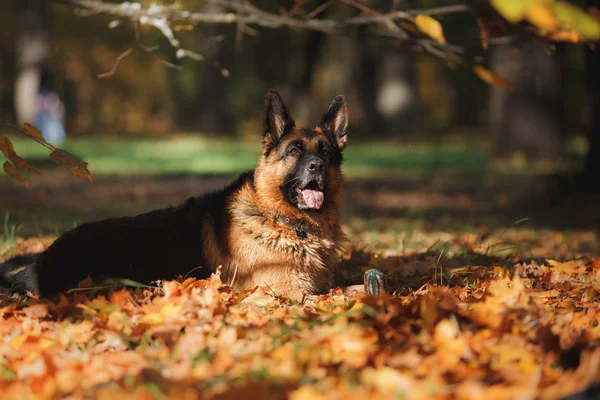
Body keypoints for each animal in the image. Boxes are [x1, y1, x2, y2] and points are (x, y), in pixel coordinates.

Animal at [0, 90, 350, 302]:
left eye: (326, 153)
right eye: (294, 151)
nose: (317, 166)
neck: (282, 219)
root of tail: (46, 256)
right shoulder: (288, 290)